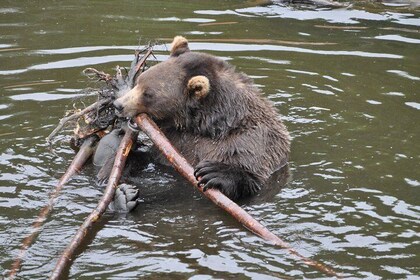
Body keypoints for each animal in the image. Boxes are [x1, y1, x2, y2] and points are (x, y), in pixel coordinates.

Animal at [113, 36, 290, 200]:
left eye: (148, 94)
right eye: (139, 81)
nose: (118, 105)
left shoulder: (252, 141)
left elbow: (251, 173)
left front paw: (213, 172)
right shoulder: (175, 141)